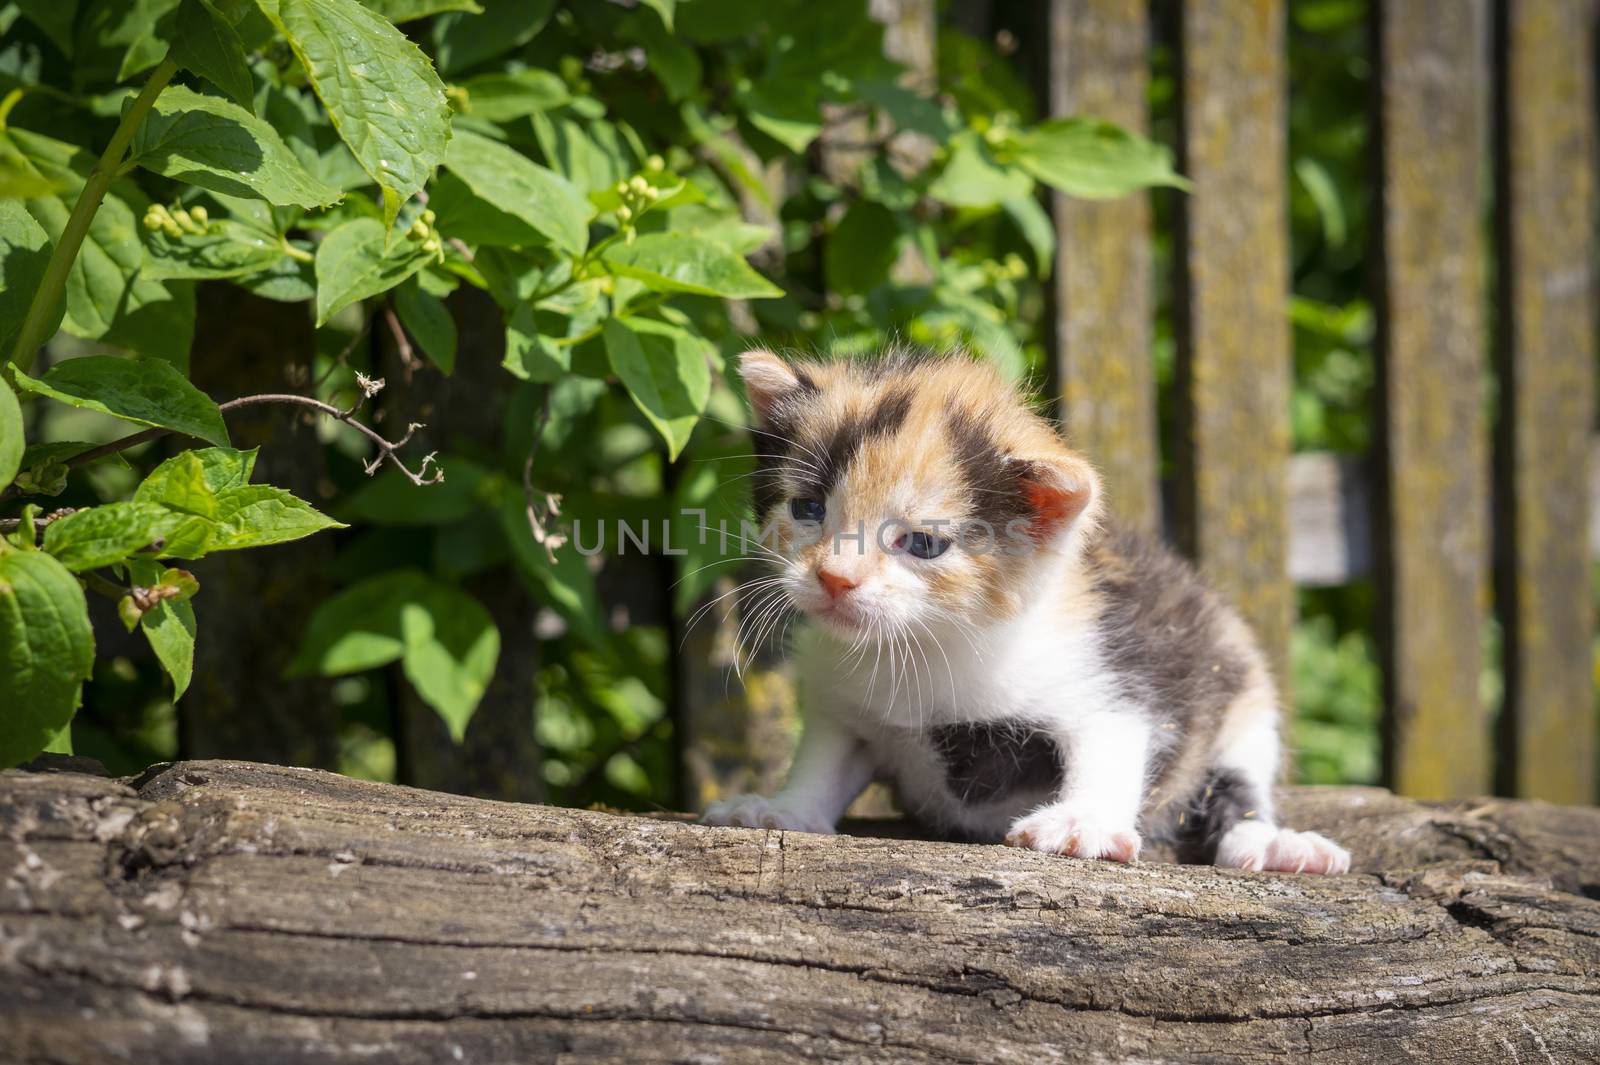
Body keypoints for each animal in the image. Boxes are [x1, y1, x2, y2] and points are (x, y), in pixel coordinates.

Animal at [700, 348, 1350, 869]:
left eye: (923, 544)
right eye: (808, 509)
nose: (835, 578)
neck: (926, 642)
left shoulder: (1112, 673)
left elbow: (1113, 741)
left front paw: (1082, 823)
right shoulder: (843, 711)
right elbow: (825, 762)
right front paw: (783, 809)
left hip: (1242, 690)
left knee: (1238, 788)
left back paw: (1272, 843)